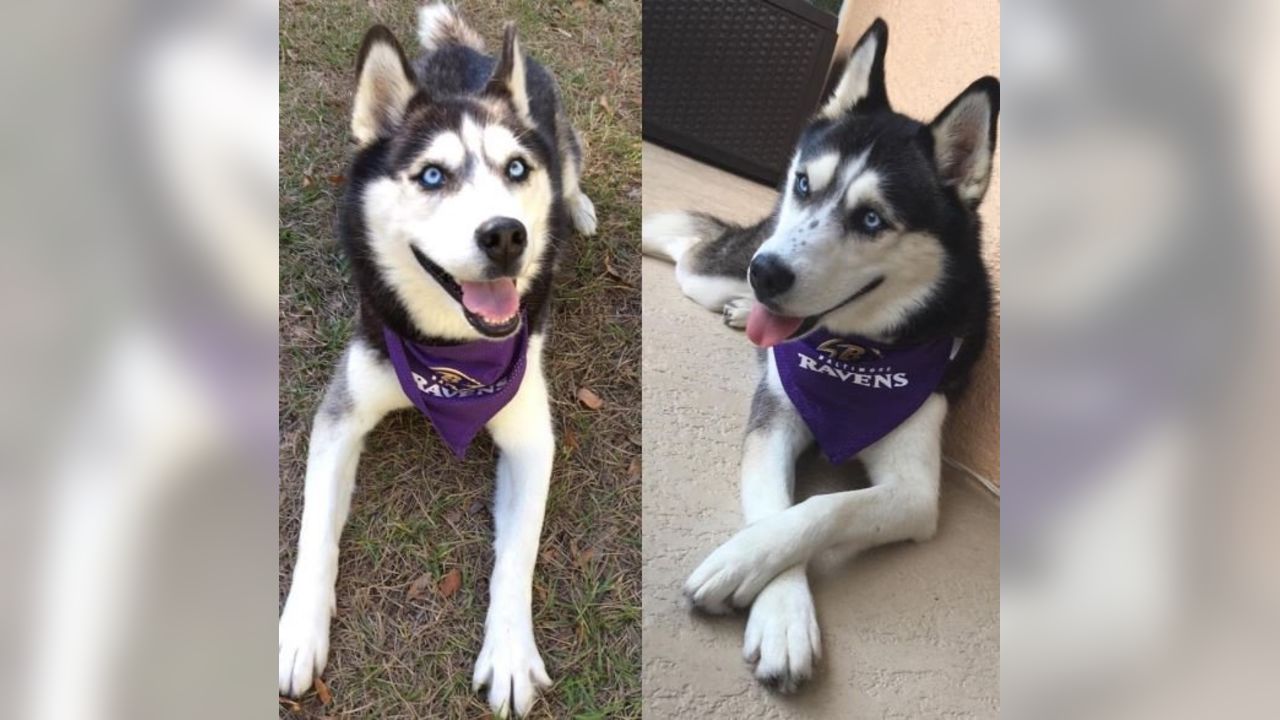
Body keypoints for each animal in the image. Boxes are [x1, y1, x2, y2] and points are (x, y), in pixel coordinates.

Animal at [277, 4, 596, 712]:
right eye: (431, 175)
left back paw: (578, 208)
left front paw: (510, 653)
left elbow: (519, 553)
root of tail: (465, 54)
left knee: (569, 167)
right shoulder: (342, 413)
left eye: (514, 170)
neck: (451, 354)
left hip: (562, 136)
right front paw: (297, 632)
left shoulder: (531, 433)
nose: (507, 236)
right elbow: (314, 529)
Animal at [645, 19, 993, 686]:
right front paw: (781, 612)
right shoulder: (774, 420)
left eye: (872, 219)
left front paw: (746, 568)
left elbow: (824, 507)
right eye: (805, 183)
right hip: (718, 269)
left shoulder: (915, 492)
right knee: (689, 249)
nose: (765, 276)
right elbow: (775, 503)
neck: (853, 352)